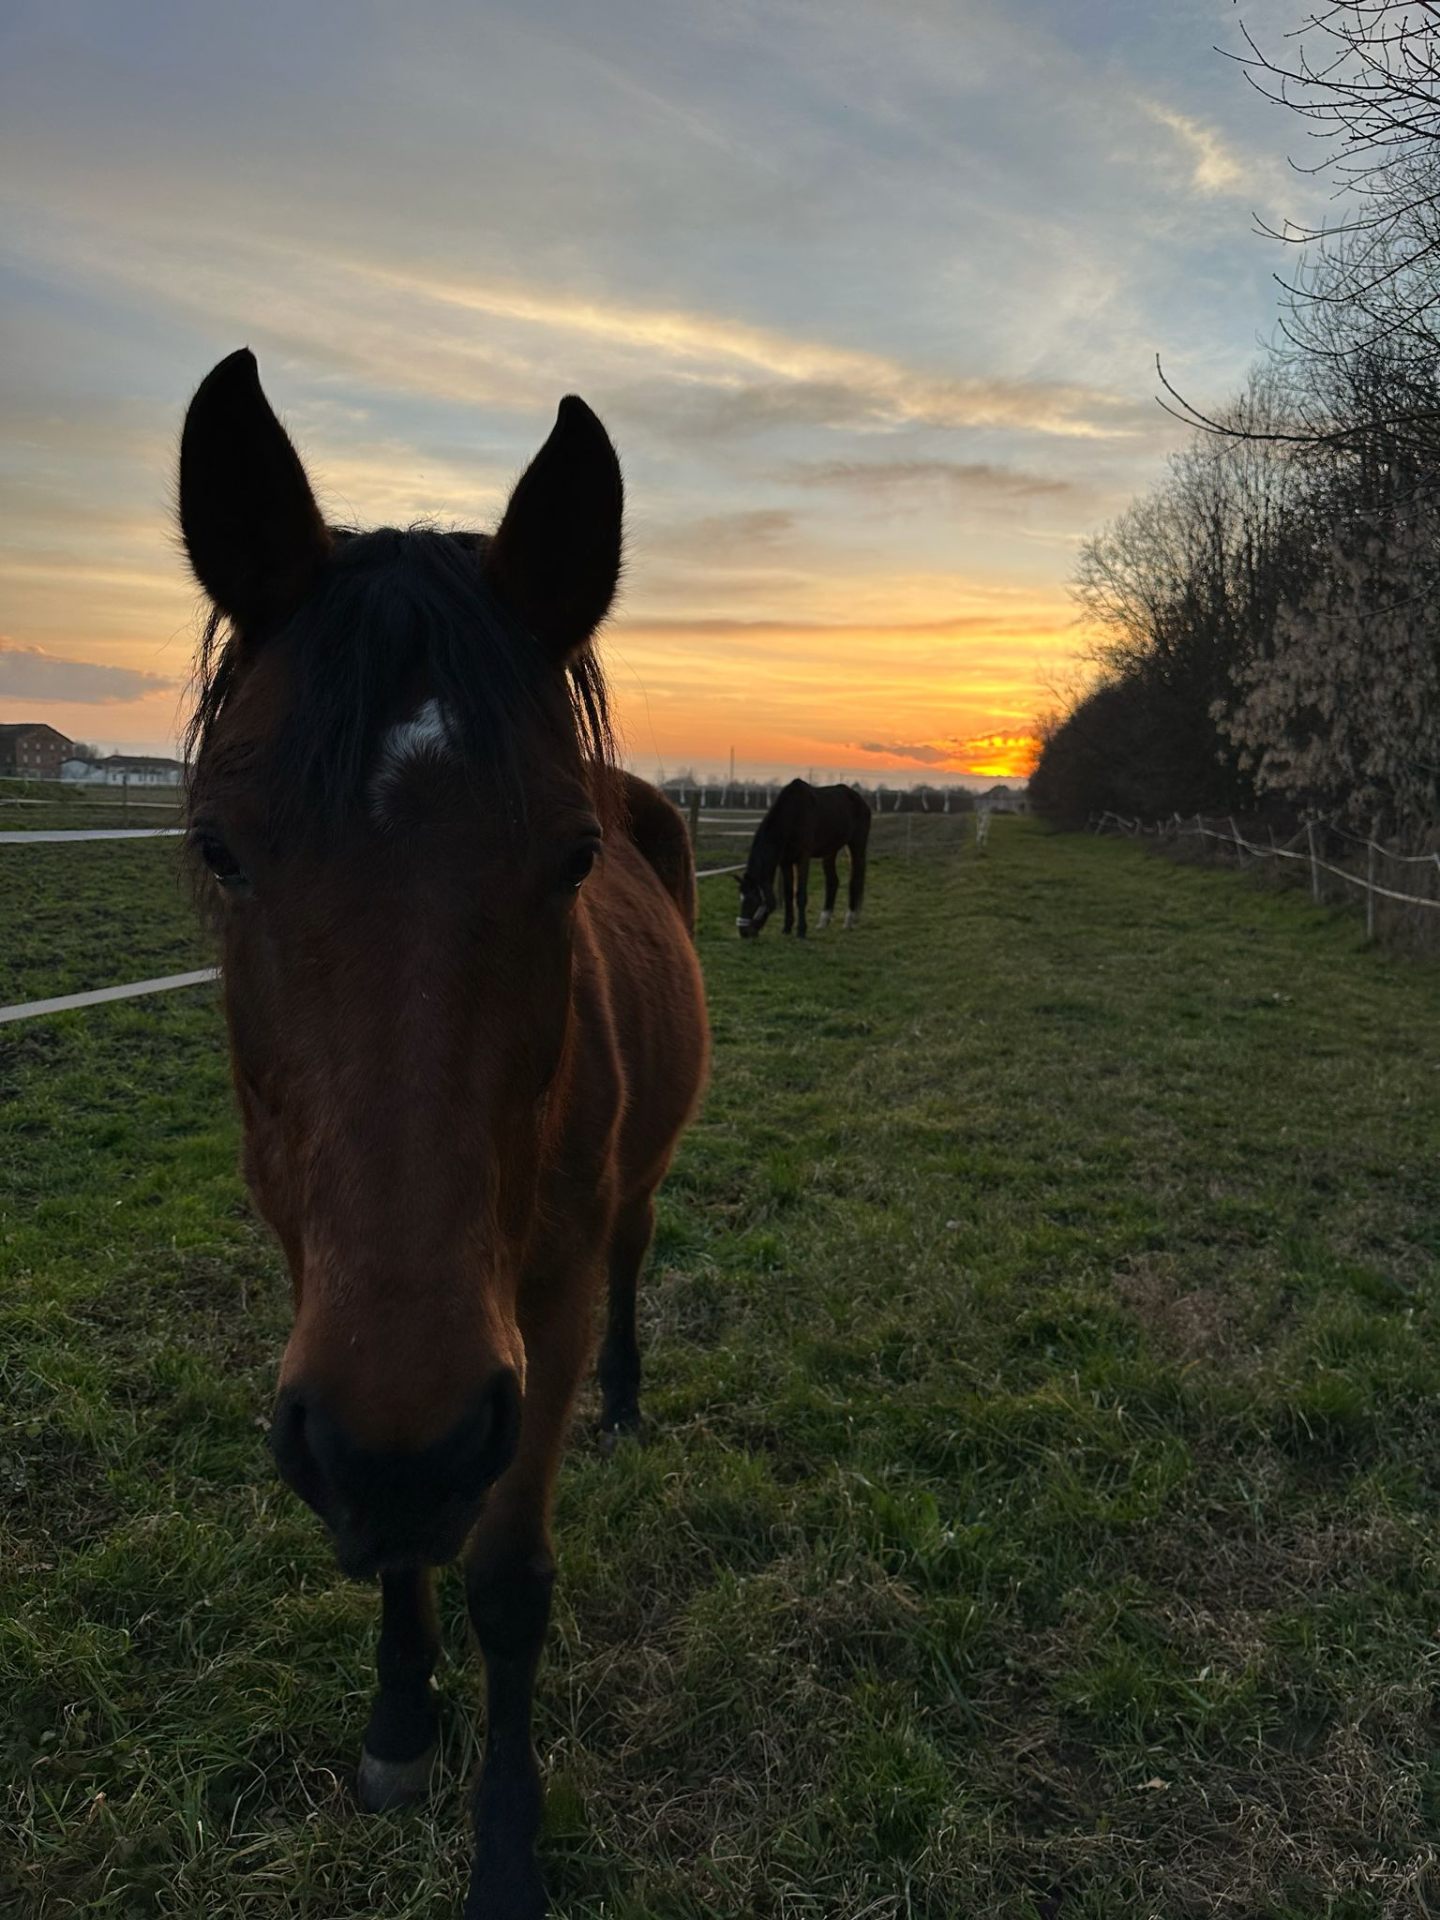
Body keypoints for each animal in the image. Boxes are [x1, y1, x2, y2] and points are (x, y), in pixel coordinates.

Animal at [178, 349, 710, 1920]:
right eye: (219, 849)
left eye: (571, 859)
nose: (401, 1451)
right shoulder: (335, 1301)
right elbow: (405, 1553)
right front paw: (401, 1724)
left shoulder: (534, 1301)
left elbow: (507, 1581)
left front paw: (508, 1850)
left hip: (630, 1205)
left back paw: (627, 1402)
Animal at [735, 778, 871, 938]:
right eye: (741, 898)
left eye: (754, 900)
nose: (744, 932)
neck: (792, 816)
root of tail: (860, 800)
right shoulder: (785, 862)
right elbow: (788, 894)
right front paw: (787, 928)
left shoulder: (803, 859)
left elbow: (800, 895)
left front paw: (801, 931)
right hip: (830, 851)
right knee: (832, 881)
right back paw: (823, 921)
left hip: (856, 846)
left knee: (855, 880)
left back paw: (849, 919)